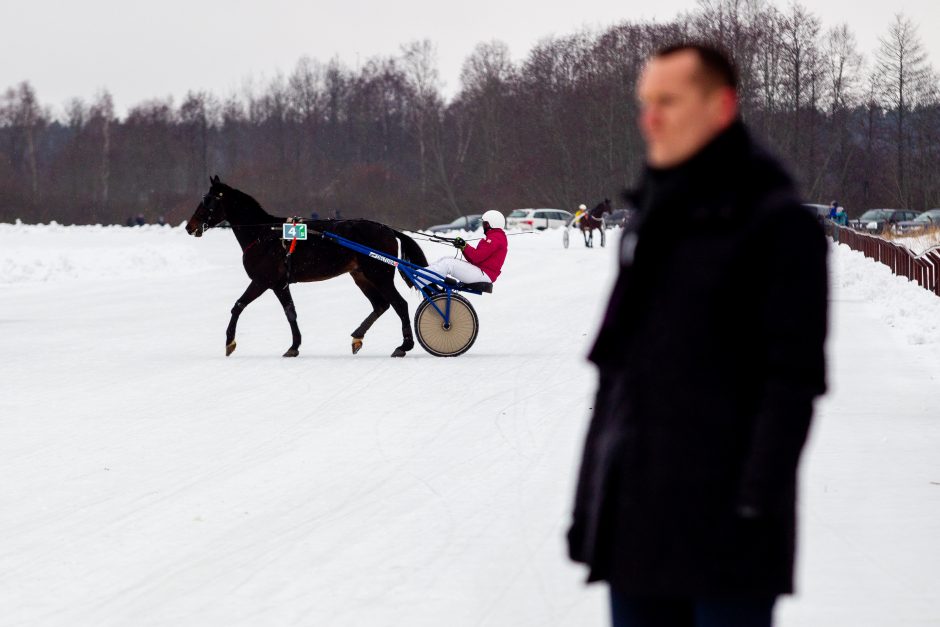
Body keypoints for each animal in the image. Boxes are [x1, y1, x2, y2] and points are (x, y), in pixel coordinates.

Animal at [185, 178, 428, 358]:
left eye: (208, 201)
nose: (190, 227)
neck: (264, 233)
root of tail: (387, 229)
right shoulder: (280, 284)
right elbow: (290, 313)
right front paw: (294, 346)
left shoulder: (263, 281)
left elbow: (238, 305)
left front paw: (230, 341)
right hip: (361, 276)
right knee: (381, 305)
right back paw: (358, 337)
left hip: (379, 275)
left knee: (399, 304)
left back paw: (404, 346)